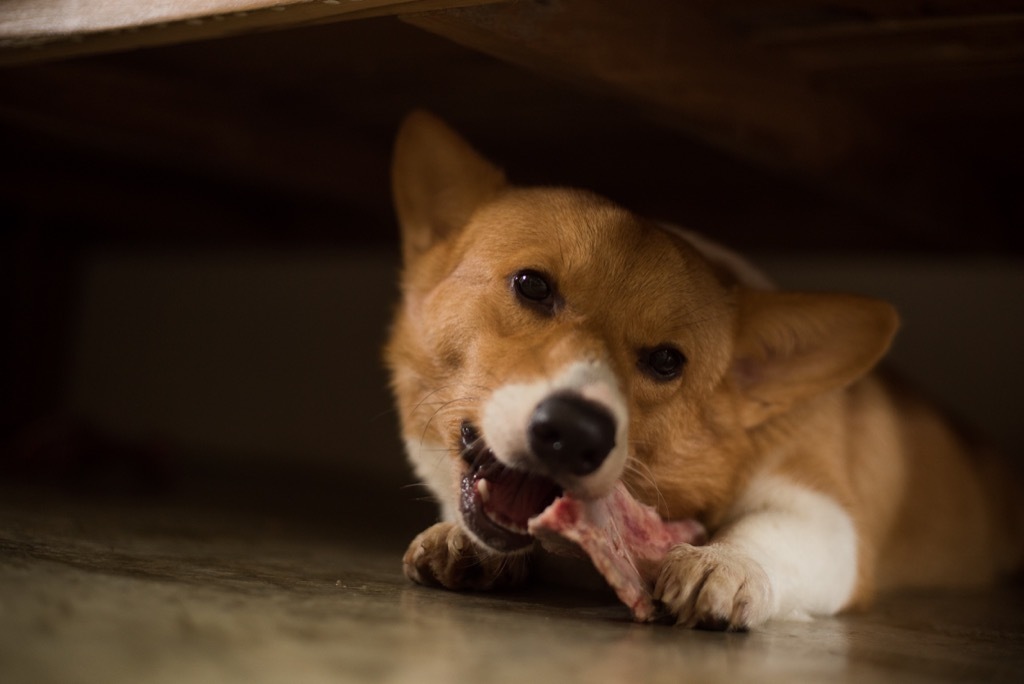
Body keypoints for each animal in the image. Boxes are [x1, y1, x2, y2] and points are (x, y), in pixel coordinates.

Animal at [385, 112, 1024, 630]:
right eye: (532, 286)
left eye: (668, 360)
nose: (573, 433)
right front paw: (460, 542)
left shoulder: (827, 513)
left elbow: (767, 532)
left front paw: (723, 564)